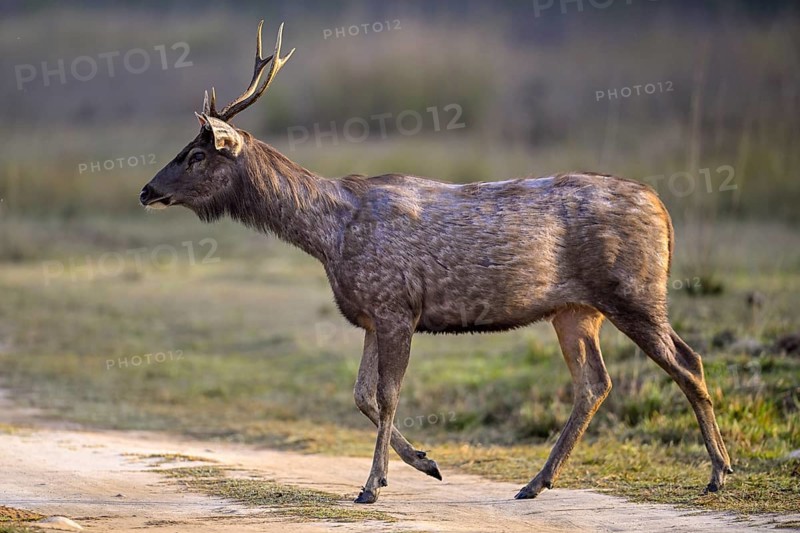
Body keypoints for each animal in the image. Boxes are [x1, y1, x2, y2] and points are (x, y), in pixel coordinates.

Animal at [140, 21, 733, 504]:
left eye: (196, 154)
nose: (146, 190)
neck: (329, 236)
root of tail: (663, 209)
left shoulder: (396, 305)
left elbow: (386, 395)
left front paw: (372, 486)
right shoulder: (371, 314)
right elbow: (361, 395)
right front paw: (424, 463)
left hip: (634, 290)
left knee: (688, 361)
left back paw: (718, 473)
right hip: (575, 309)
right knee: (595, 383)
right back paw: (536, 482)